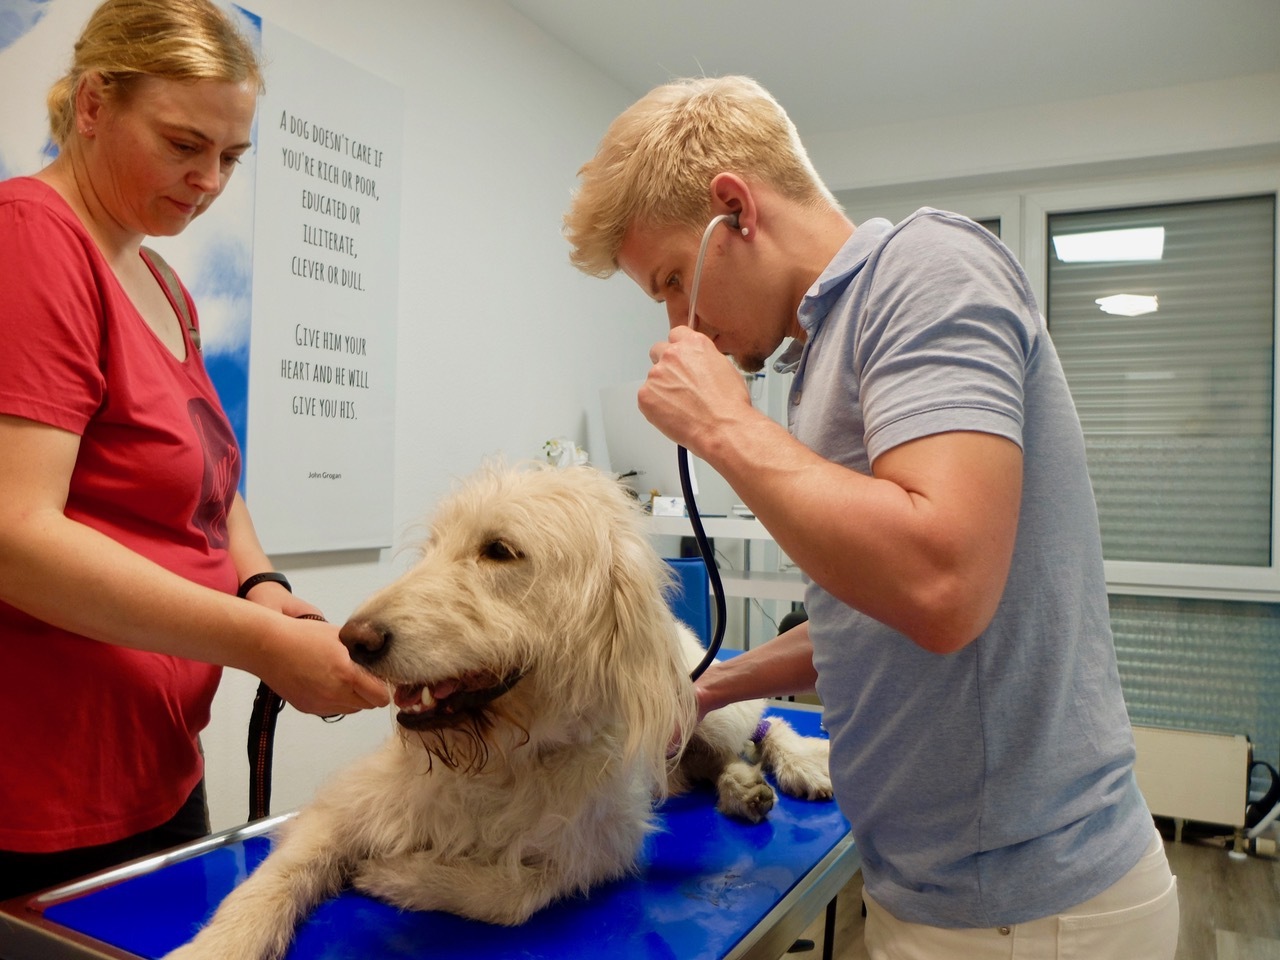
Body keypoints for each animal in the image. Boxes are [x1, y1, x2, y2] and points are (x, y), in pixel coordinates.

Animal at [166, 463, 831, 960]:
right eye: (433, 549)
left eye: (500, 551)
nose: (354, 640)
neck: (500, 759)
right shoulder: (342, 808)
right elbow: (274, 878)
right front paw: (218, 947)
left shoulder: (596, 847)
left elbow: (513, 896)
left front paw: (400, 877)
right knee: (720, 759)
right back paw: (744, 788)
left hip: (704, 704)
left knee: (765, 724)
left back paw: (797, 766)